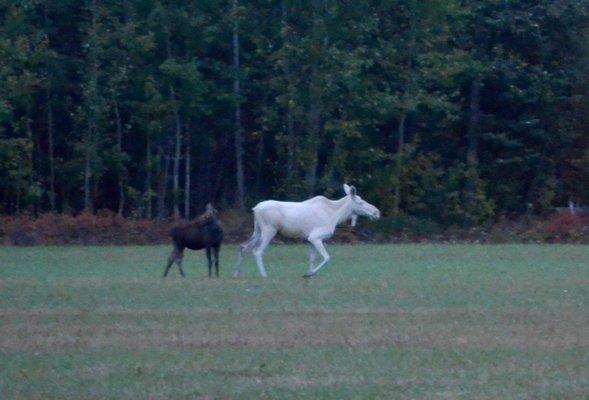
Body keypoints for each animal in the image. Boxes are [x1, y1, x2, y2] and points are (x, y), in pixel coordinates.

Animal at [234, 184, 382, 278]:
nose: (377, 212)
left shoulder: (310, 239)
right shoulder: (315, 237)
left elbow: (312, 259)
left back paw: (237, 273)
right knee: (257, 251)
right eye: (361, 202)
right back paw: (264, 275)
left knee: (243, 247)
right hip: (269, 230)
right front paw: (309, 274)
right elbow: (327, 257)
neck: (336, 216)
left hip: (257, 230)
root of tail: (255, 209)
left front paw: (311, 275)